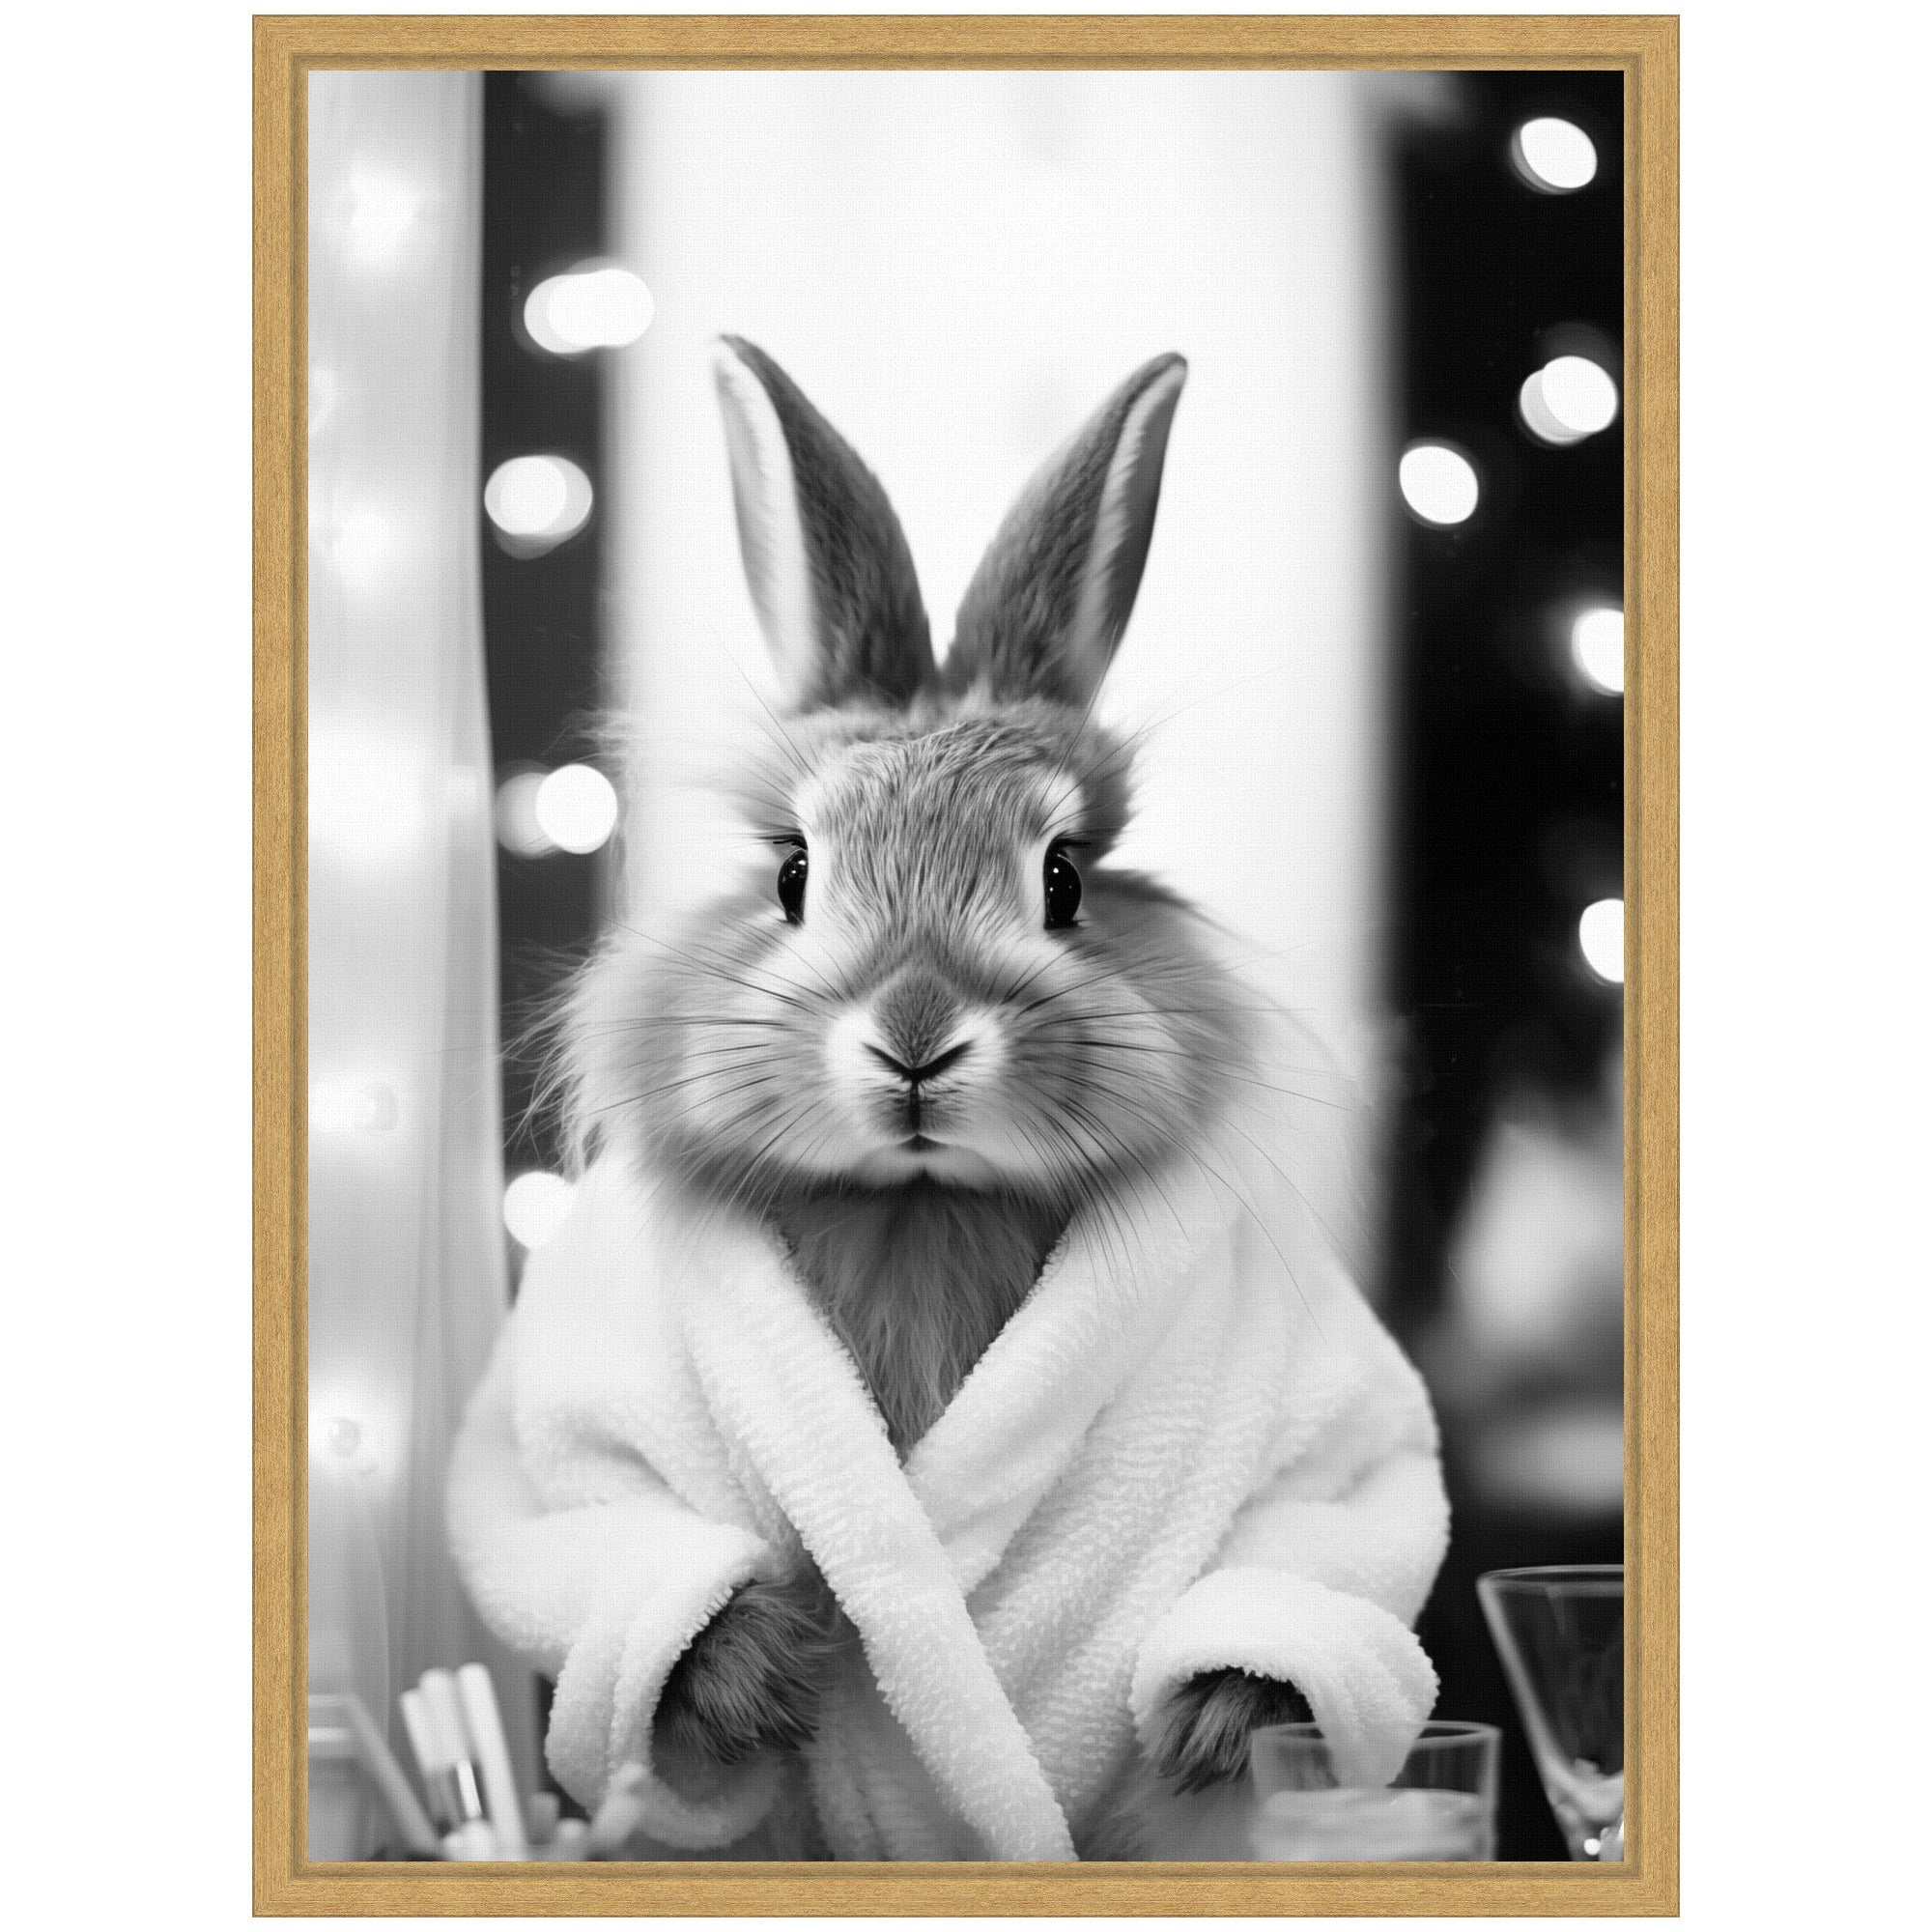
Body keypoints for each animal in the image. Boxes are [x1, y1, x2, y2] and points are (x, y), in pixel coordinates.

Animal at [554, 337, 1363, 1835]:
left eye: (1065, 881)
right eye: (792, 873)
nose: (917, 1034)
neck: (916, 1205)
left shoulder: (1324, 1433)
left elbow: (1313, 1529)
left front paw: (1215, 1722)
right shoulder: (584, 1441)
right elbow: (610, 1527)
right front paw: (767, 1678)